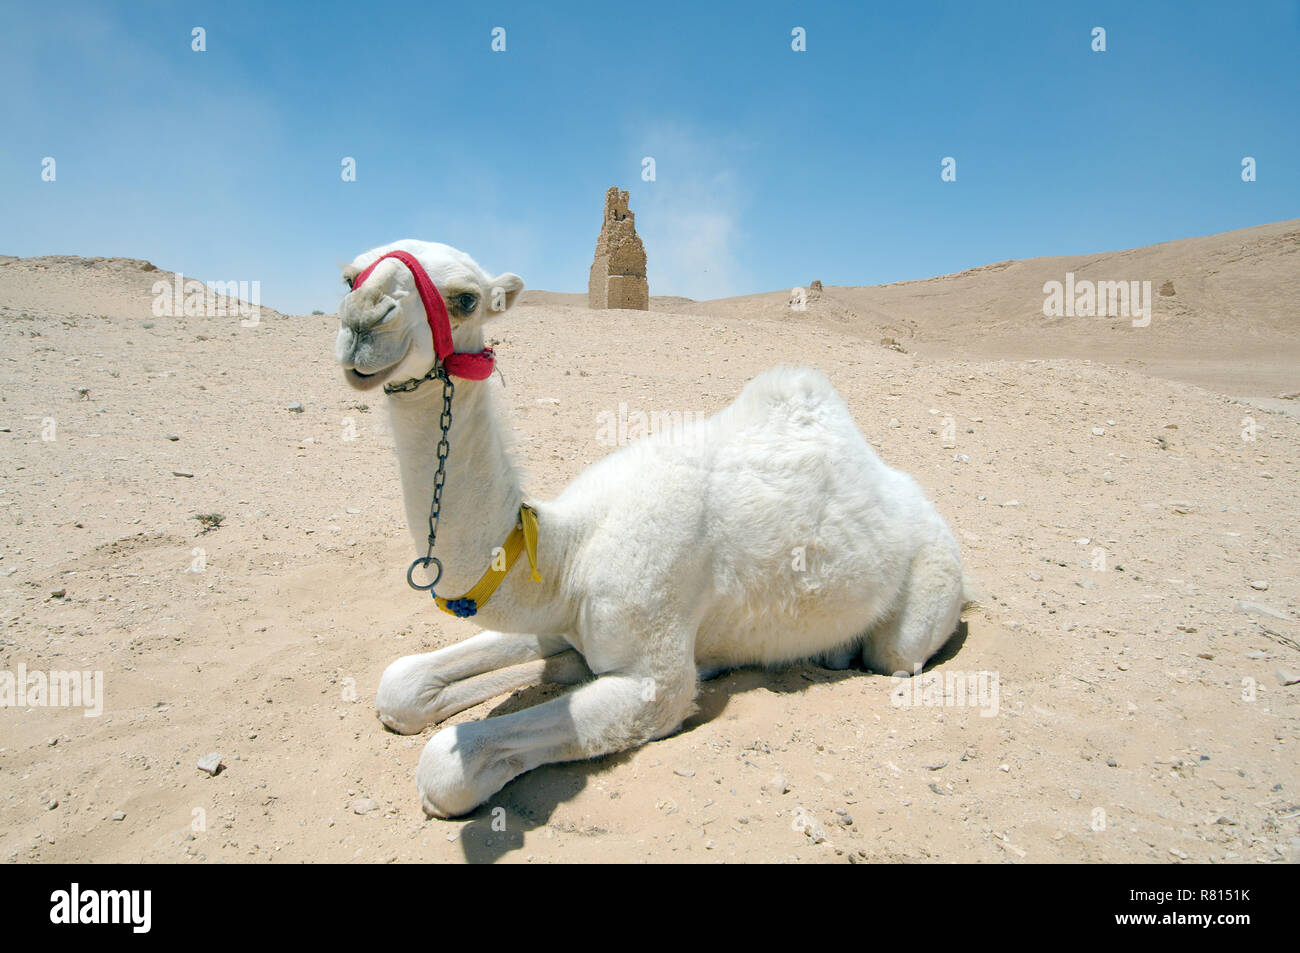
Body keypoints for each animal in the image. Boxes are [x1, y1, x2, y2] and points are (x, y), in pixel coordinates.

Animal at [332, 241, 967, 816]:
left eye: (464, 299)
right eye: (349, 276)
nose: (362, 320)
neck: (570, 555)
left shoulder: (654, 682)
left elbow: (445, 768)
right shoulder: (561, 618)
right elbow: (400, 684)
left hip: (927, 589)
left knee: (895, 650)